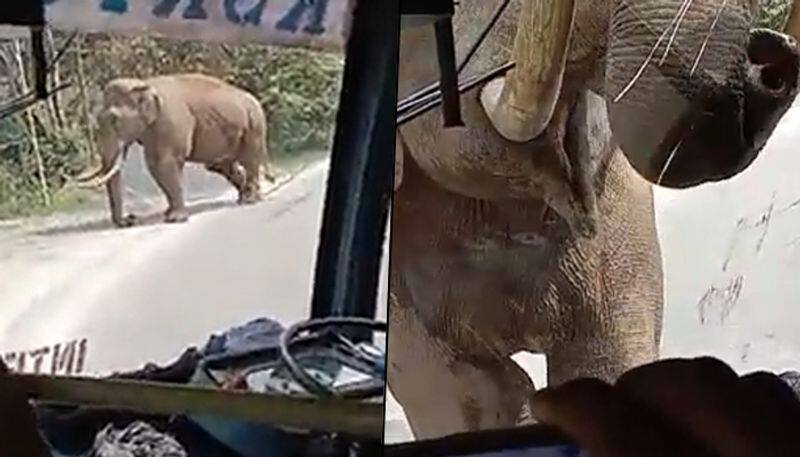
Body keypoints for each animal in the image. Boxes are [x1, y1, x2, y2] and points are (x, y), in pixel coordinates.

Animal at [76, 73, 276, 228]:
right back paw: (244, 197)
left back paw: (251, 200)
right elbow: (158, 167)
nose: (130, 219)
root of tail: (255, 100)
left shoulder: (168, 122)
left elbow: (161, 163)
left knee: (249, 160)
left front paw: (175, 219)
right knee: (221, 165)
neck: (144, 83)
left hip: (254, 126)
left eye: (114, 120)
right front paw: (169, 214)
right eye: (97, 121)